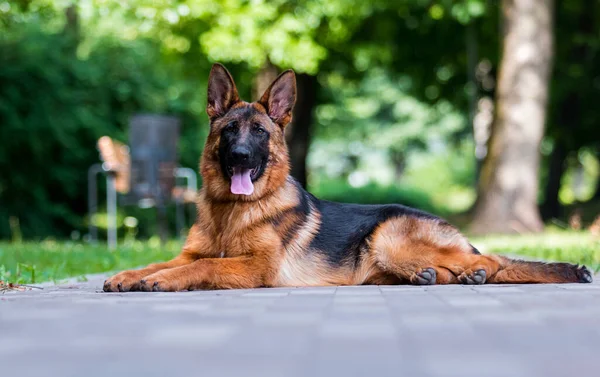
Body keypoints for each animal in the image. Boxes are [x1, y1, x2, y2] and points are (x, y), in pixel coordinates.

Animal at [103, 64, 592, 290]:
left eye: (259, 132)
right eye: (228, 132)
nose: (240, 157)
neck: (233, 212)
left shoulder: (255, 266)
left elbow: (203, 266)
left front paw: (160, 281)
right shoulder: (188, 253)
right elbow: (164, 262)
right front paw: (129, 274)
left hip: (388, 237)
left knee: (492, 259)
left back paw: (474, 273)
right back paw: (433, 276)